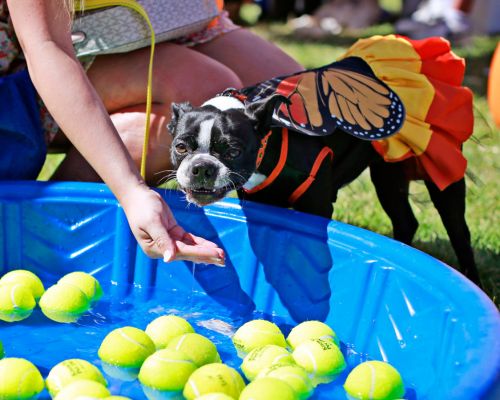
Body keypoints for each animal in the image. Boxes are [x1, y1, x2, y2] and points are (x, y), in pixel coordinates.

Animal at [168, 57, 480, 288]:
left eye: (232, 151)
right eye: (181, 147)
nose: (202, 167)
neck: (270, 137)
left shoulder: (316, 205)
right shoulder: (261, 201)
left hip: (441, 172)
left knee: (459, 230)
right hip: (387, 175)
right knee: (405, 220)